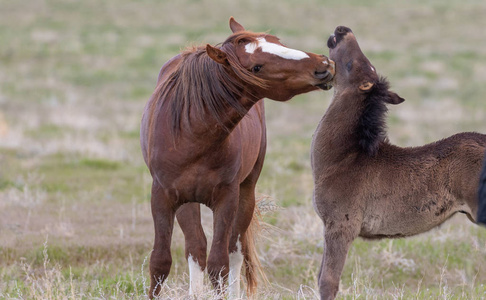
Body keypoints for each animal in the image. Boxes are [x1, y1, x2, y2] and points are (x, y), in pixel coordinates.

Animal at [140, 18, 334, 298]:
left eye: (278, 42)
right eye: (256, 67)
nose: (324, 65)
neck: (192, 134)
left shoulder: (227, 198)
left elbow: (219, 264)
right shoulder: (163, 196)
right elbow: (160, 262)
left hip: (246, 193)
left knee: (234, 252)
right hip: (187, 200)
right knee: (196, 246)